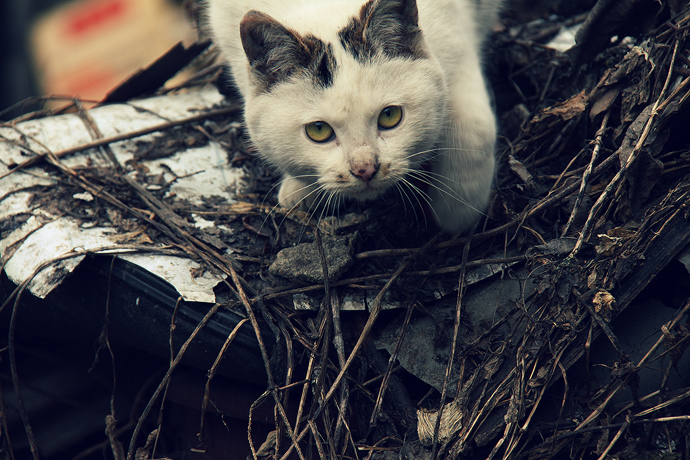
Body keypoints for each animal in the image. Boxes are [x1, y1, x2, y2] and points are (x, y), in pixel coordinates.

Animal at [204, 0, 500, 232]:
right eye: (318, 130)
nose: (365, 169)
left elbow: (476, 130)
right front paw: (300, 189)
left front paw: (457, 213)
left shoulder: (459, 48)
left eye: (390, 116)